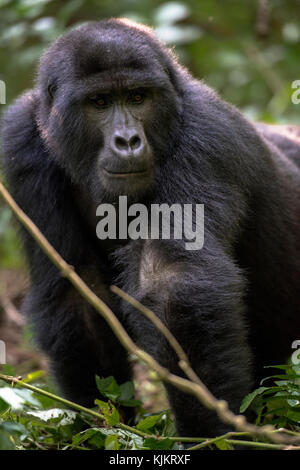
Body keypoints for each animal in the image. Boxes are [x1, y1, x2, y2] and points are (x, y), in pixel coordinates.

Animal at [0, 18, 300, 436]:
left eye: (139, 97)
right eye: (100, 102)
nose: (128, 141)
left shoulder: (206, 137)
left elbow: (174, 284)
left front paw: (210, 434)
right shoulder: (23, 145)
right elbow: (77, 290)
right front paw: (100, 426)